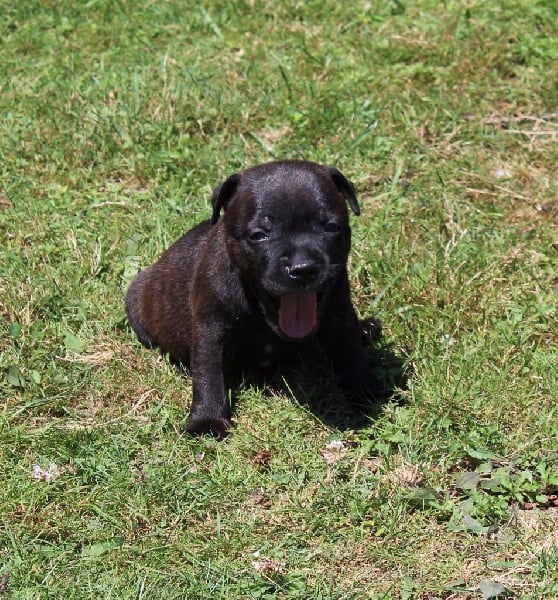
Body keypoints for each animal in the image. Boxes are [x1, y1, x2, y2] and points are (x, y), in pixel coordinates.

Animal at [125, 160, 382, 438]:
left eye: (331, 227)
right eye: (258, 235)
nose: (303, 268)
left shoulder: (339, 314)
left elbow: (351, 351)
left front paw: (366, 392)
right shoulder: (211, 331)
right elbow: (209, 374)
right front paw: (207, 422)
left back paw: (367, 329)